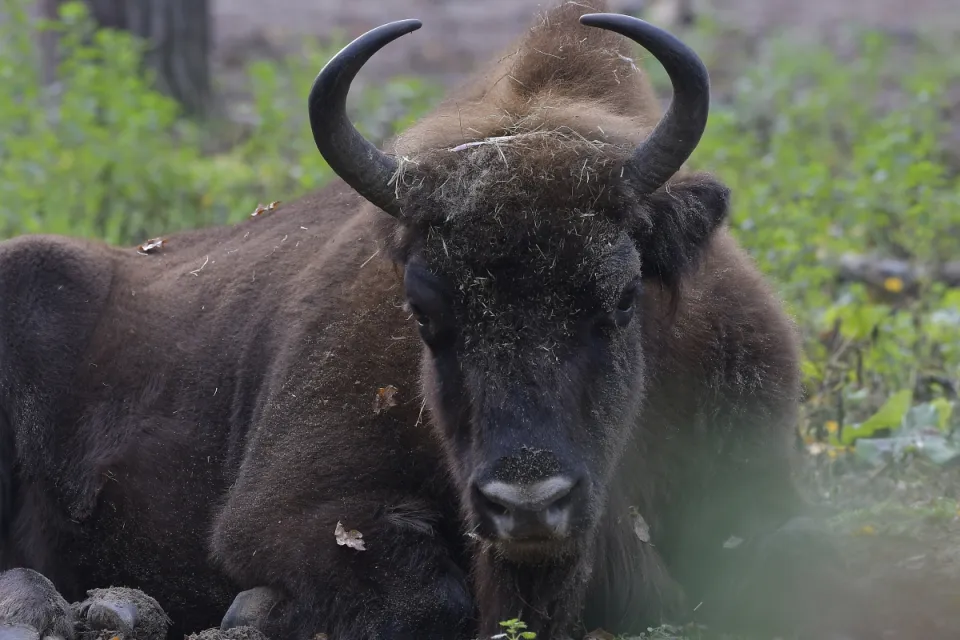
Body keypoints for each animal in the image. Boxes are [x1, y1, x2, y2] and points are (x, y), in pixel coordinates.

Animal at [0, 1, 870, 639]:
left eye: (623, 296)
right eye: (421, 310)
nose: (528, 503)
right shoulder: (282, 512)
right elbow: (430, 596)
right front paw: (253, 612)